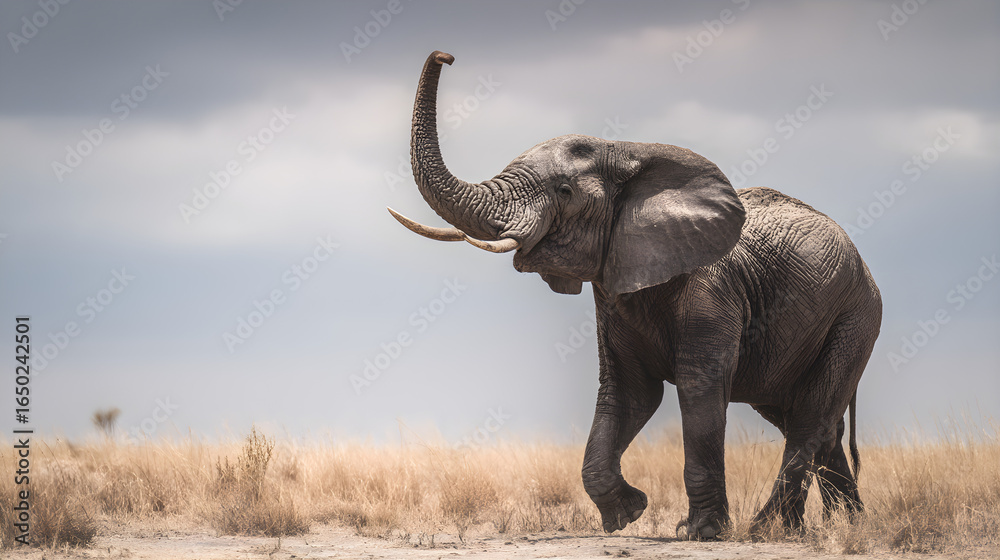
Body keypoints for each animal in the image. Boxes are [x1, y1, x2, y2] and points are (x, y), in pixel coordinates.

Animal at [389, 51, 882, 540]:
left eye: (564, 191)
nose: (446, 55)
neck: (629, 151)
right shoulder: (612, 289)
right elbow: (629, 391)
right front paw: (627, 514)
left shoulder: (714, 289)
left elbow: (698, 388)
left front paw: (700, 532)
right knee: (805, 419)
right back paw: (832, 527)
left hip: (854, 319)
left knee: (809, 420)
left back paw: (768, 529)